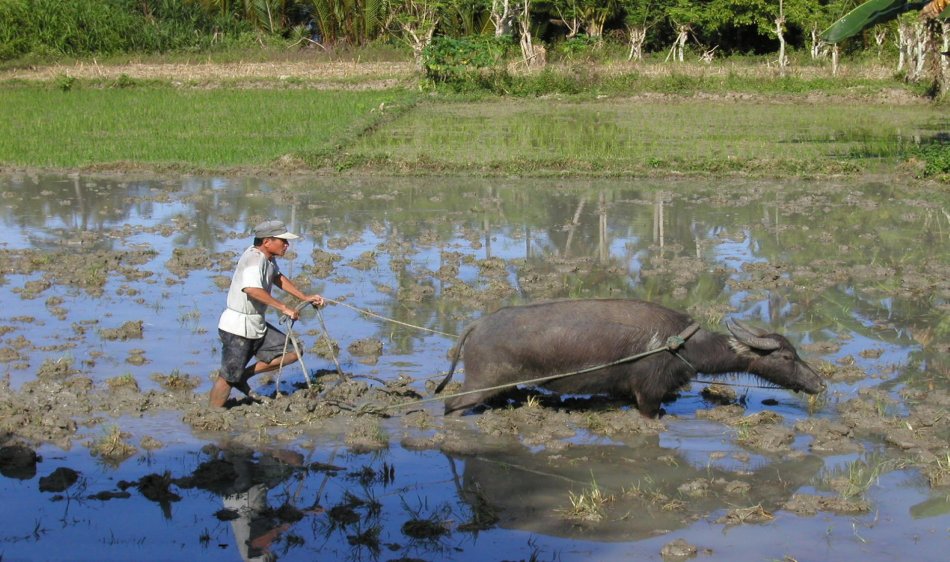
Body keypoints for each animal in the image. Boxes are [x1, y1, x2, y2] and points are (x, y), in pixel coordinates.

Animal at [436, 298, 824, 416]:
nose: (820, 383)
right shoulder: (649, 395)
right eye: (786, 357)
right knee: (451, 406)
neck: (680, 344)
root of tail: (478, 324)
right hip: (479, 383)